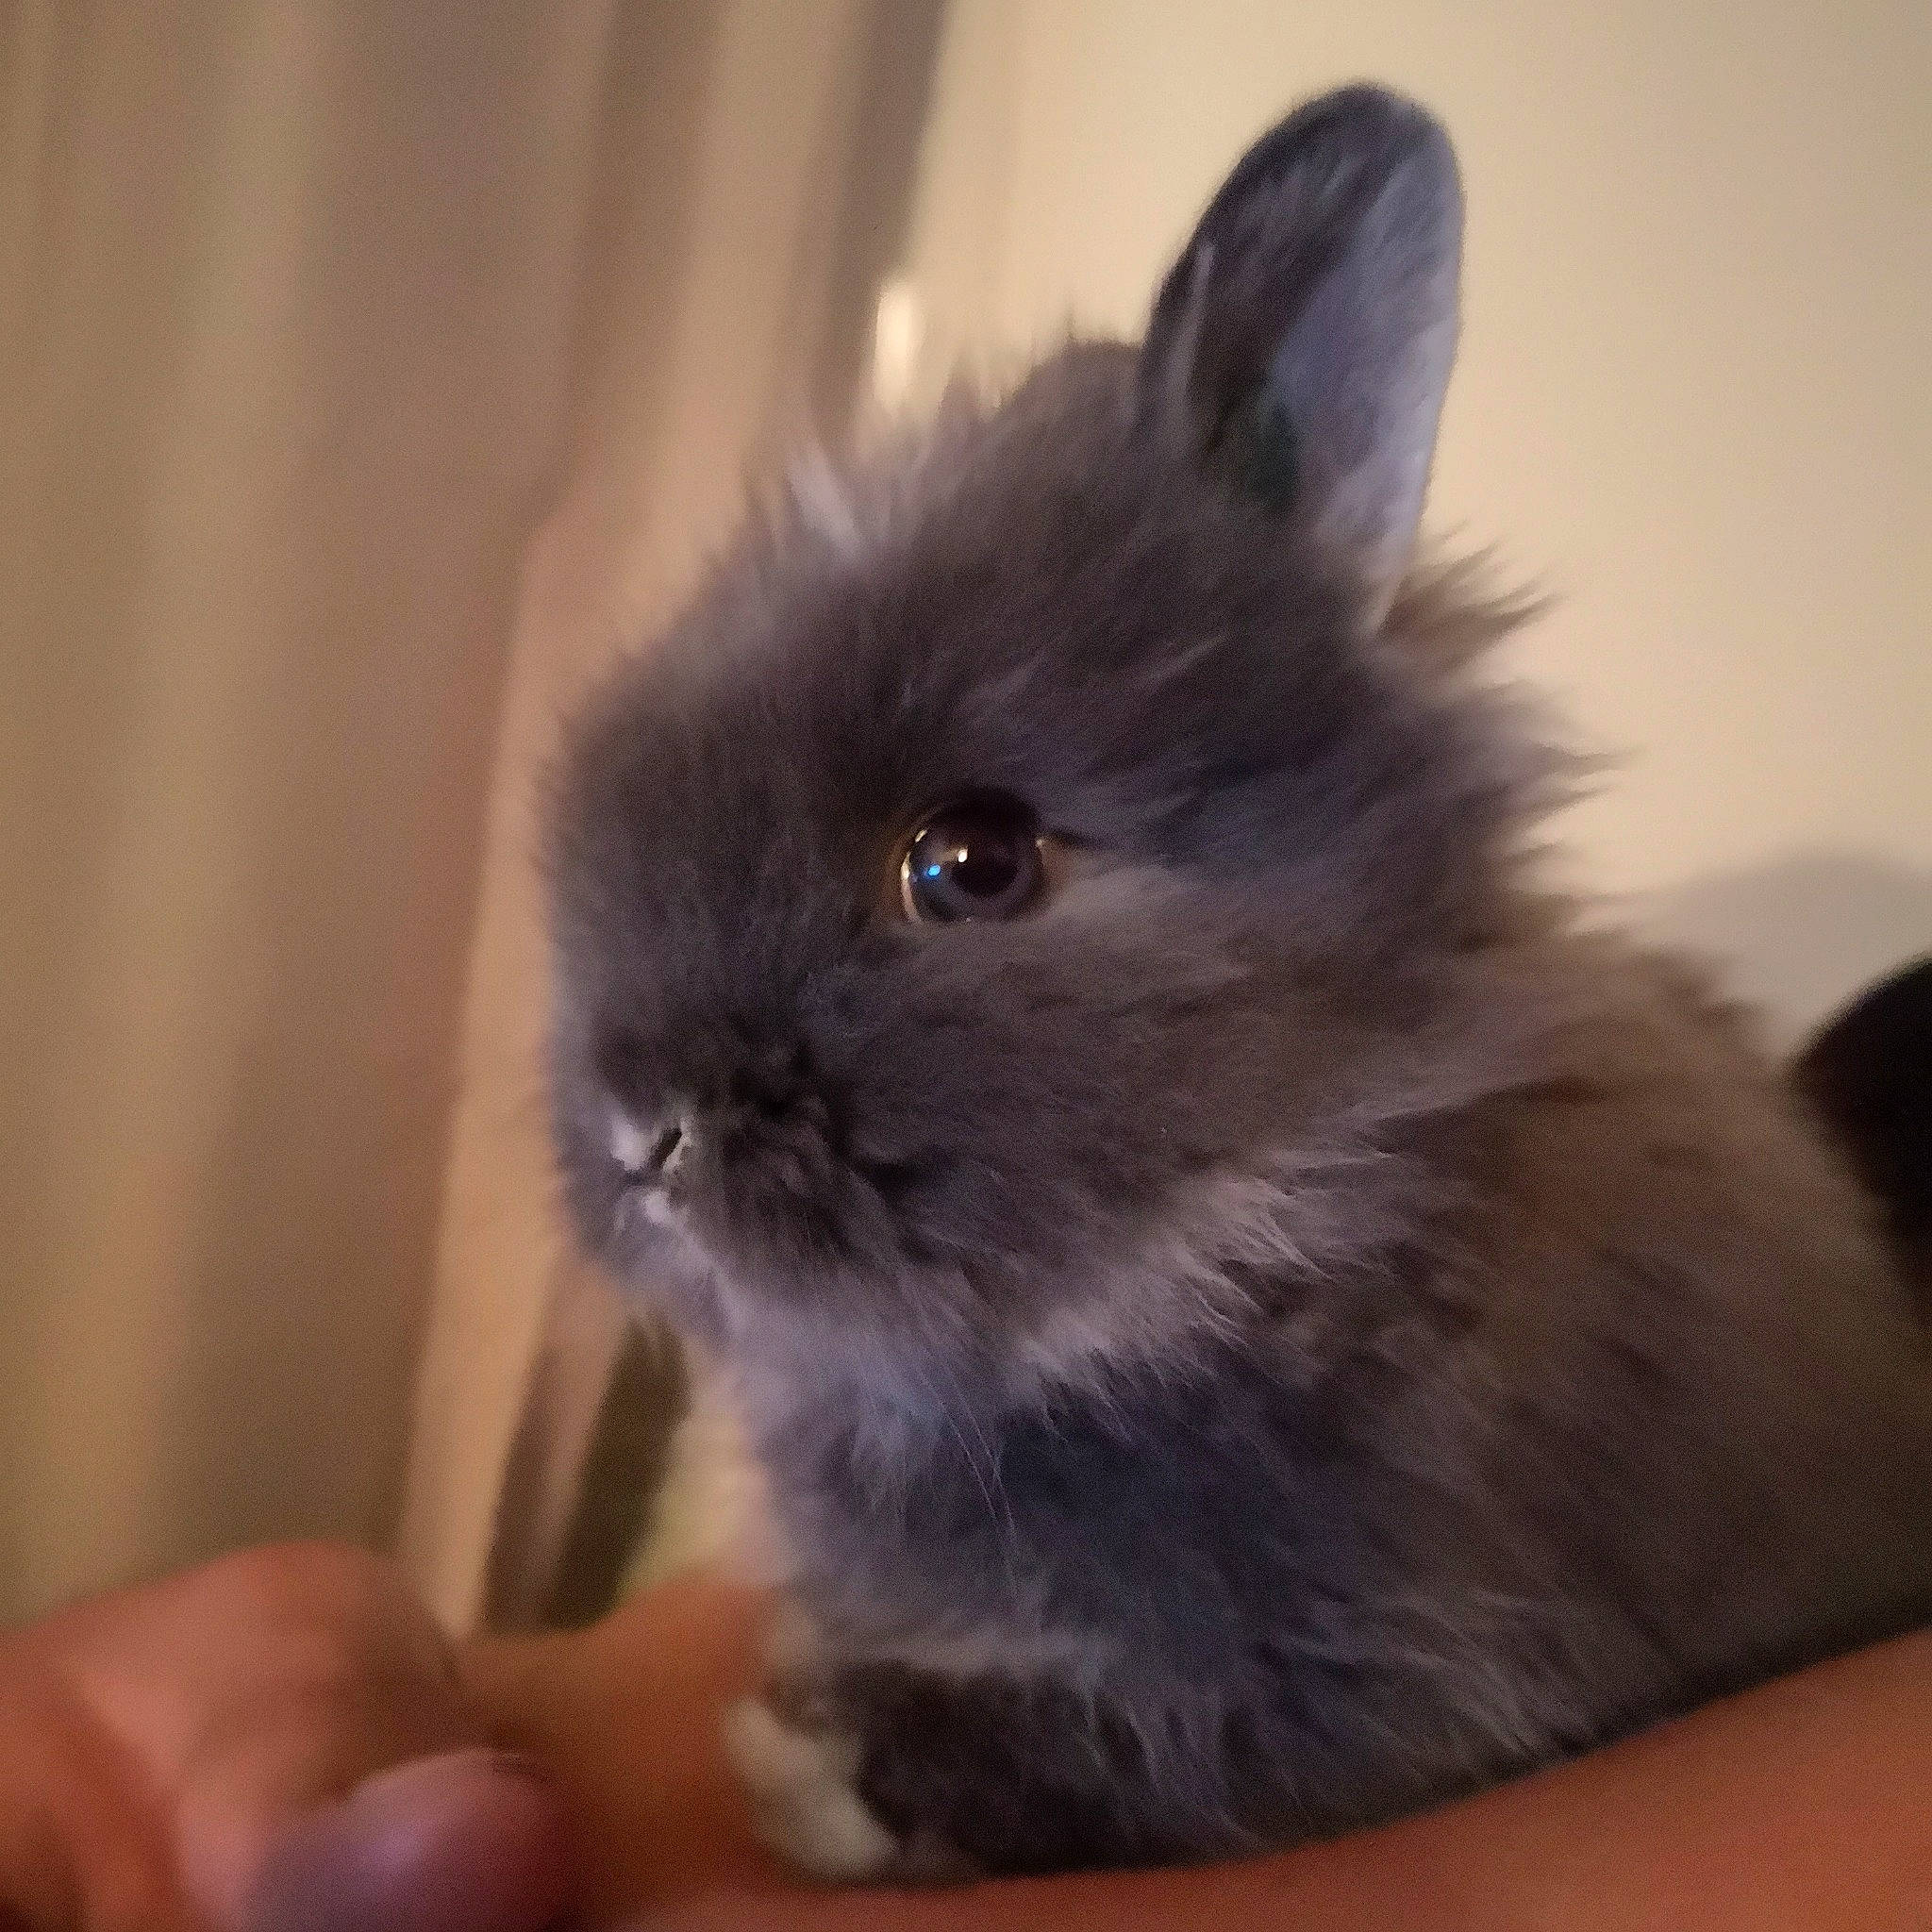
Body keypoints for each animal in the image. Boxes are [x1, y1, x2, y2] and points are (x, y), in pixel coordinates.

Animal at [543, 85, 1932, 1879]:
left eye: (971, 861)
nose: (641, 1125)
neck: (1263, 1219)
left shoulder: (1394, 1686)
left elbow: (1152, 1760)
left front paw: (819, 1765)